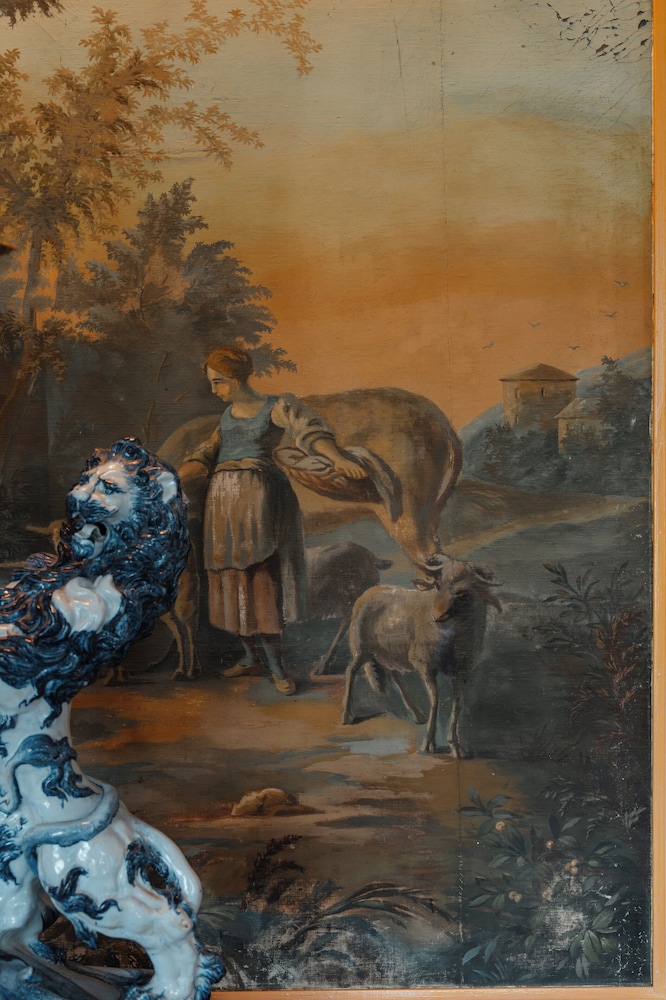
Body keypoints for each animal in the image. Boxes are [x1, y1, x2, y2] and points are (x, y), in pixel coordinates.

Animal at [341, 553, 501, 756]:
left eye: (462, 592)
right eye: (438, 585)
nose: (437, 616)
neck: (452, 638)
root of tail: (368, 592)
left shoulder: (462, 670)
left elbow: (458, 704)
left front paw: (456, 746)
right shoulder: (425, 665)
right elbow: (435, 700)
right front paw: (428, 744)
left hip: (393, 652)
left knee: (395, 675)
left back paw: (417, 714)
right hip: (361, 649)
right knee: (351, 671)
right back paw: (347, 715)